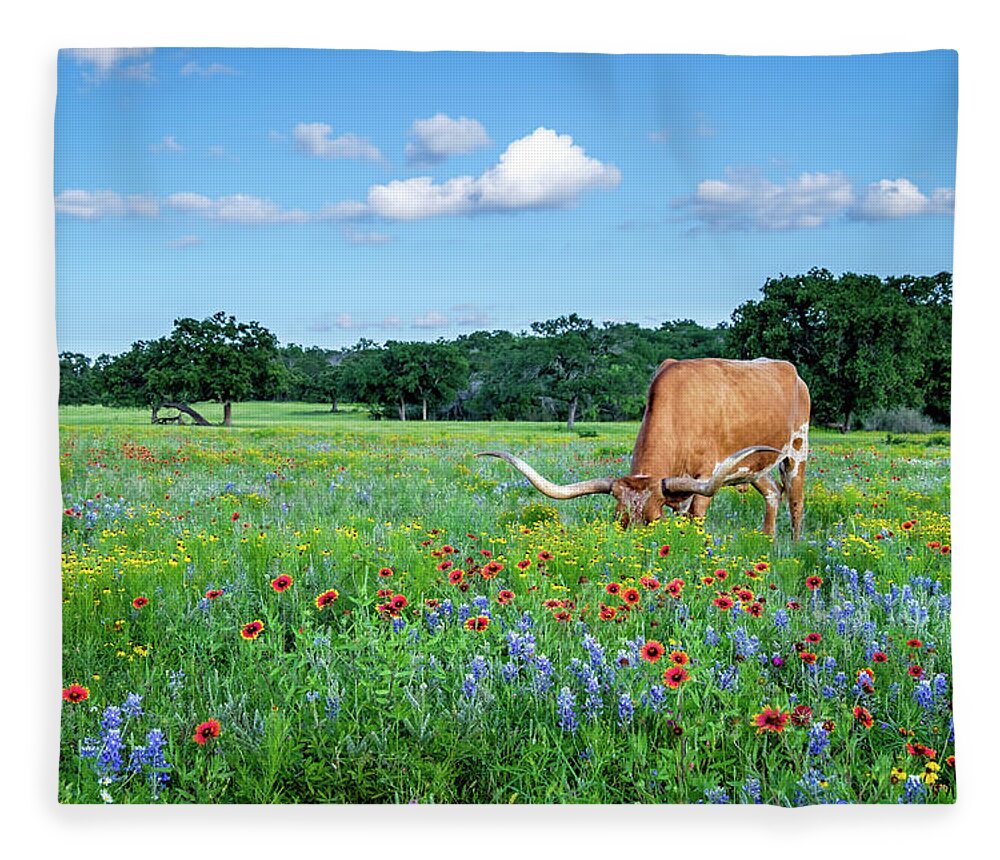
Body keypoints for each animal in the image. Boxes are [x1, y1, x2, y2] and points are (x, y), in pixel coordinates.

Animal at [478, 356, 812, 536]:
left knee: (796, 502)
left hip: (796, 452)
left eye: (654, 520)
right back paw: (767, 541)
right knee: (773, 493)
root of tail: (794, 373)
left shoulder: (705, 478)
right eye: (620, 520)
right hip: (755, 466)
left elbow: (696, 518)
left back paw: (793, 545)